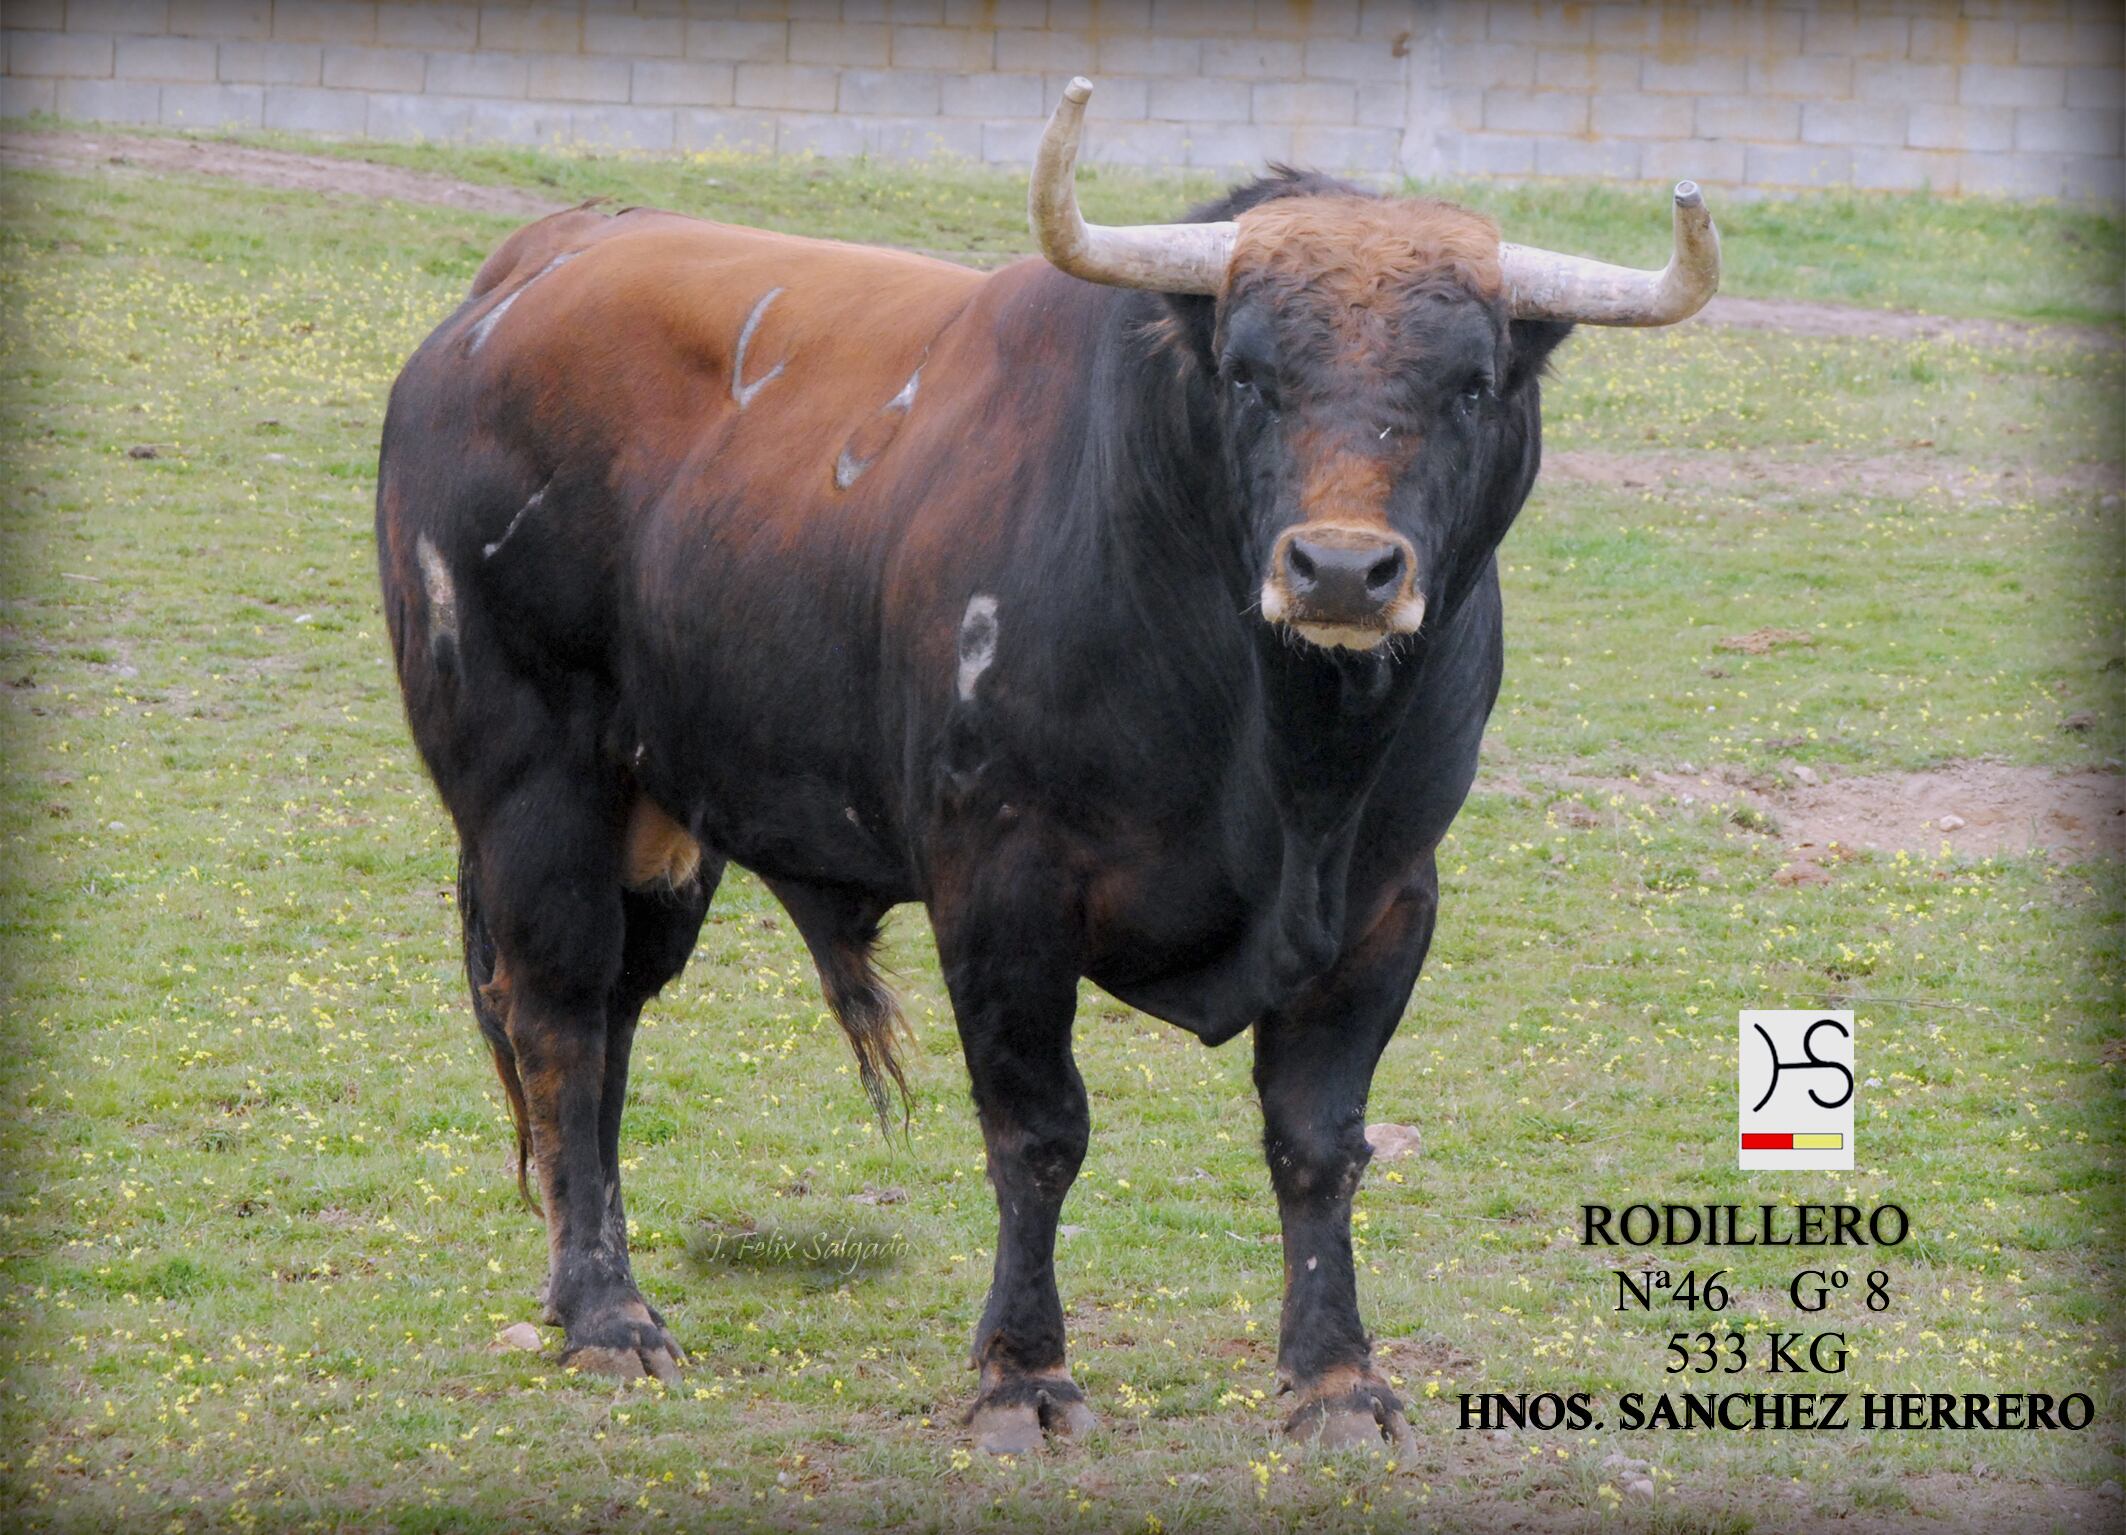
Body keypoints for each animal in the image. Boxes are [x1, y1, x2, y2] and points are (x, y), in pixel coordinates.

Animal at [374, 80, 1717, 1445]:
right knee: (558, 1019)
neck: (1283, 761)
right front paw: (1023, 1371)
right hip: (532, 787)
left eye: (1472, 382)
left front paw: (1337, 1376)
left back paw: (578, 1287)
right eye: (1246, 372)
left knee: (610, 1023)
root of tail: (532, 267)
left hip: (659, 821)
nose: (1339, 569)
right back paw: (608, 1316)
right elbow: (1037, 1130)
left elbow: (1318, 1138)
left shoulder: (1386, 900)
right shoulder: (1002, 882)